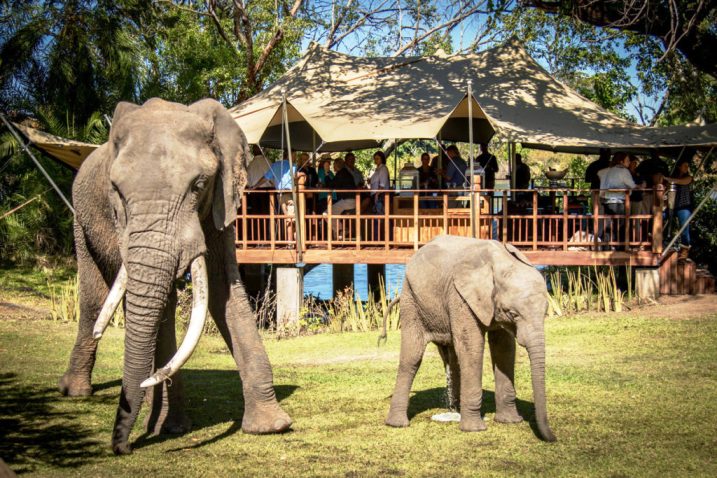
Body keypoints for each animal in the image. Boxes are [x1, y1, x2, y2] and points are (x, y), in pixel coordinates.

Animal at [58, 98, 292, 456]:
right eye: (116, 191)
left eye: (198, 186)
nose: (122, 449)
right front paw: (166, 427)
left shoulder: (220, 201)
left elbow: (223, 287)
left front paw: (270, 426)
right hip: (80, 221)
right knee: (96, 300)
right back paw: (79, 392)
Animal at [380, 235, 552, 440]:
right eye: (513, 313)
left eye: (546, 311)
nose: (552, 438)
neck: (499, 262)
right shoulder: (460, 296)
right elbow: (472, 346)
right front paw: (474, 429)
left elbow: (504, 349)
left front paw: (509, 421)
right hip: (411, 299)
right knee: (412, 357)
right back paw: (398, 424)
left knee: (452, 357)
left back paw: (455, 411)